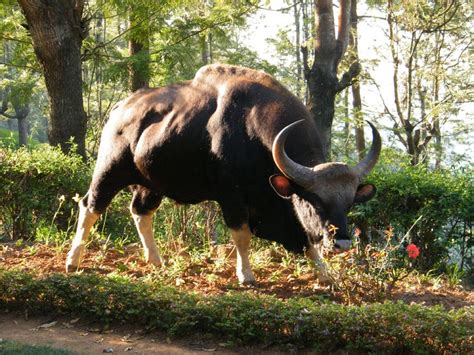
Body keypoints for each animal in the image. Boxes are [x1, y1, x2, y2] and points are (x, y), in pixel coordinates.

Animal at [65, 64, 382, 286]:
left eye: (349, 203)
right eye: (313, 201)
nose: (341, 242)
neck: (252, 129)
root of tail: (122, 108)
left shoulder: (277, 203)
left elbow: (303, 238)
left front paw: (326, 275)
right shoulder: (231, 197)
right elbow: (241, 235)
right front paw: (246, 275)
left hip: (150, 184)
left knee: (140, 212)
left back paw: (155, 261)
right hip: (109, 169)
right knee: (90, 206)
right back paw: (73, 260)